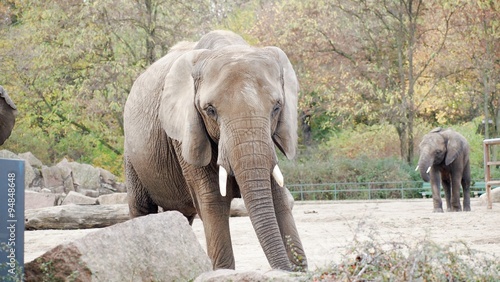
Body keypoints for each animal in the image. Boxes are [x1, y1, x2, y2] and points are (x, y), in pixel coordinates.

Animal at [123, 30, 306, 270]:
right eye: (210, 110)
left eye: (277, 107)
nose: (286, 269)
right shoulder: (185, 135)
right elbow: (213, 201)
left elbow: (279, 196)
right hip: (131, 154)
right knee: (142, 209)